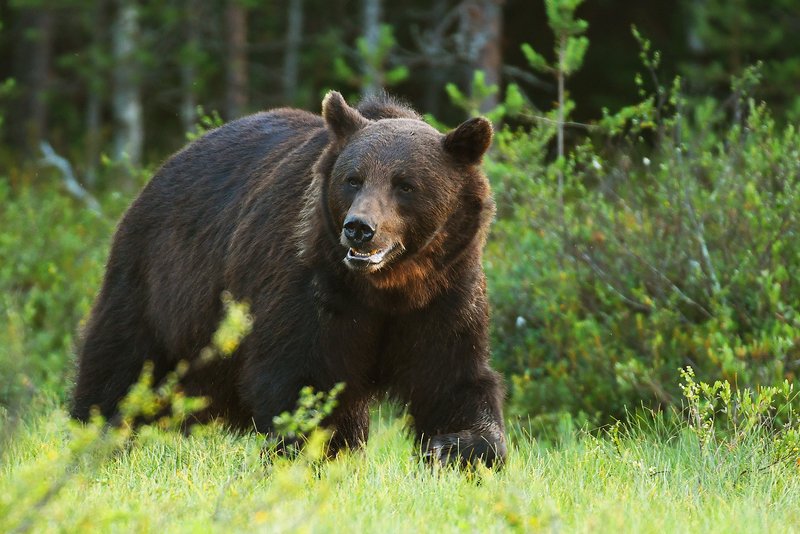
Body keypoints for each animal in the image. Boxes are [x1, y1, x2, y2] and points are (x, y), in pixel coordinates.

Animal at [70, 91, 507, 467]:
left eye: (406, 185)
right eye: (353, 178)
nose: (359, 228)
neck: (387, 287)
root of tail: (164, 167)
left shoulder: (445, 292)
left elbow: (453, 379)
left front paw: (458, 448)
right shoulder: (310, 285)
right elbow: (303, 376)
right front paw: (317, 449)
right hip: (160, 279)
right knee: (122, 359)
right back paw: (95, 432)